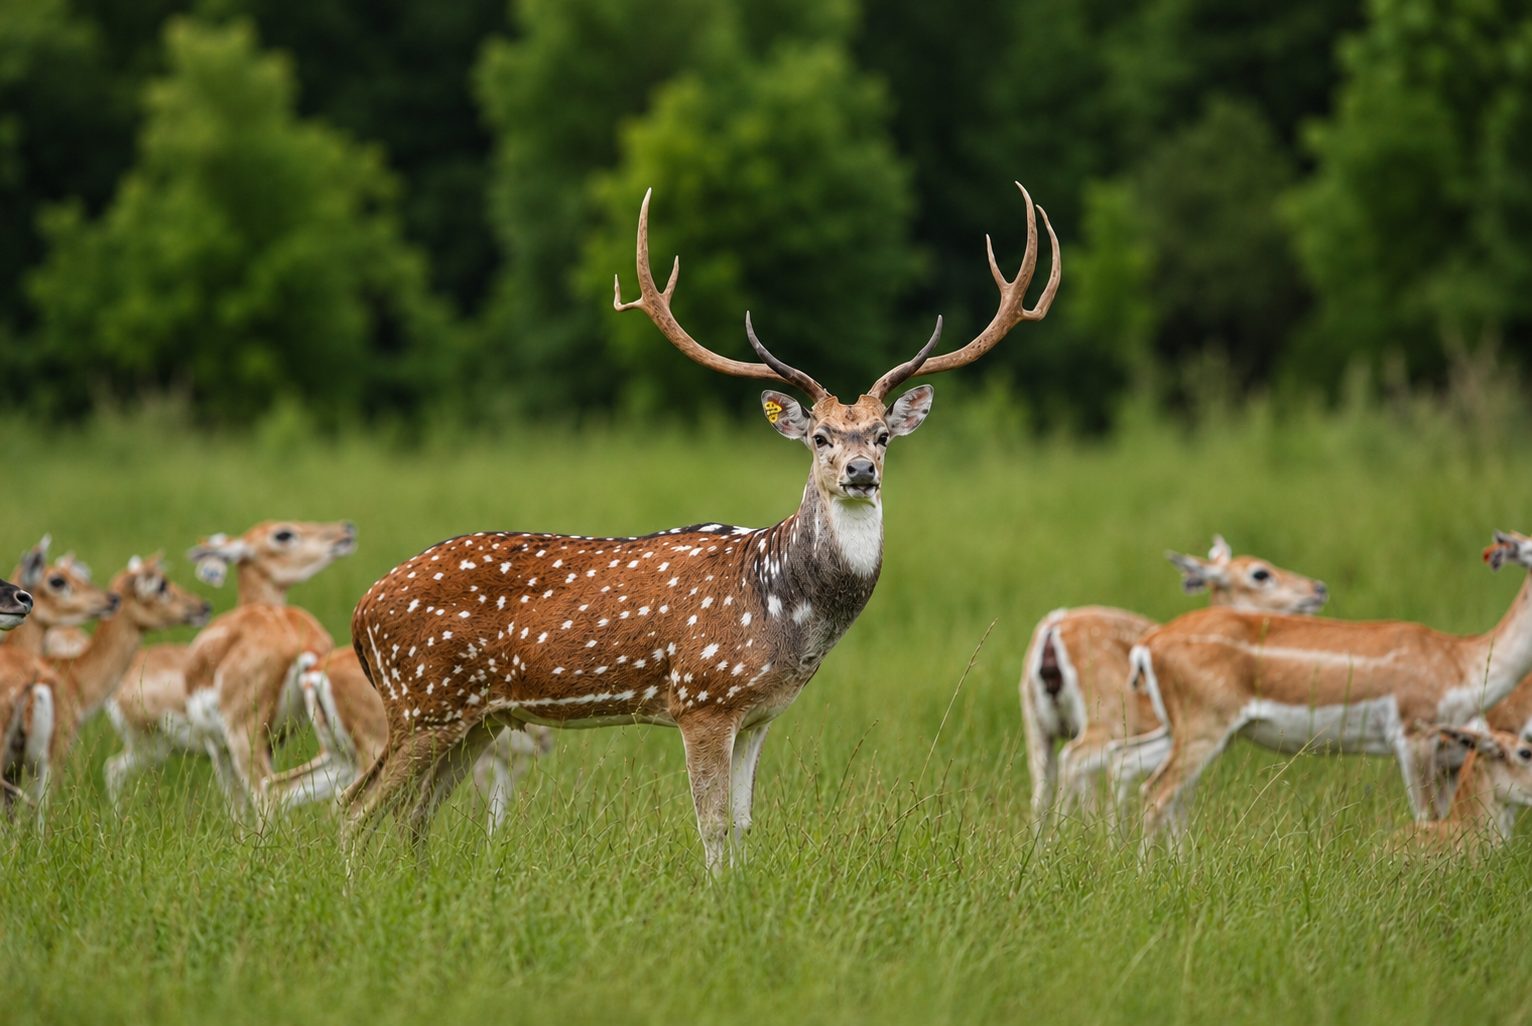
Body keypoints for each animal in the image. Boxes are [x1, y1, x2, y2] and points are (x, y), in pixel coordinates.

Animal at [340, 182, 1059, 871]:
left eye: (883, 435)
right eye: (820, 437)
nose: (860, 471)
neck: (785, 612)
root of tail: (361, 609)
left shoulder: (759, 714)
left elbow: (742, 826)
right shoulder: (703, 698)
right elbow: (711, 825)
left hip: (479, 716)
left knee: (412, 816)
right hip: (423, 699)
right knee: (354, 808)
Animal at [1021, 535, 1327, 833]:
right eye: (1260, 573)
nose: (1318, 588)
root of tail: (1051, 629)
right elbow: (1178, 801)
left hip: (1035, 721)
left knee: (1042, 783)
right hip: (1108, 715)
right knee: (1074, 759)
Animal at [1130, 529, 1532, 851]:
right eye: (1260, 573)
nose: (1318, 588)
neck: (1463, 661)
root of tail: (1150, 643)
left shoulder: (1450, 757)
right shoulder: (1414, 736)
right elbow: (1426, 816)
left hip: (1190, 732)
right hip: (1204, 730)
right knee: (1156, 792)